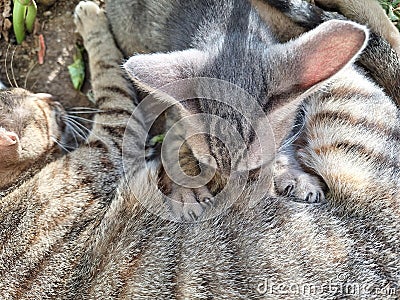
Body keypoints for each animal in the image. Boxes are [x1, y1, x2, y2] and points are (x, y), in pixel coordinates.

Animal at [0, 1, 398, 298]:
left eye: (252, 168)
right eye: (213, 165)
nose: (234, 202)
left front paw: (290, 173)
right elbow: (174, 147)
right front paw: (188, 189)